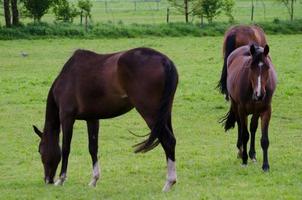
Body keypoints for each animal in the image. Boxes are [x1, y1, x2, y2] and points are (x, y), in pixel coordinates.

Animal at [33, 47, 178, 192]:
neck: (66, 78)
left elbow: (66, 148)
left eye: (40, 150)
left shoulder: (67, 117)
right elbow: (93, 148)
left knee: (168, 141)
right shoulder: (92, 119)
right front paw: (94, 180)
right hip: (163, 115)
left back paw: (168, 183)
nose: (47, 180)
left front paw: (61, 179)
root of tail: (164, 61)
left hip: (150, 113)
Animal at [221, 44, 278, 172]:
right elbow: (245, 134)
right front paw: (244, 160)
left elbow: (264, 139)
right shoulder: (242, 110)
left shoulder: (266, 111)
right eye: (251, 68)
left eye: (267, 67)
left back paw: (252, 154)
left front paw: (265, 166)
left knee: (253, 127)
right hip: (235, 105)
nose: (260, 94)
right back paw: (241, 151)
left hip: (256, 112)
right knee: (240, 126)